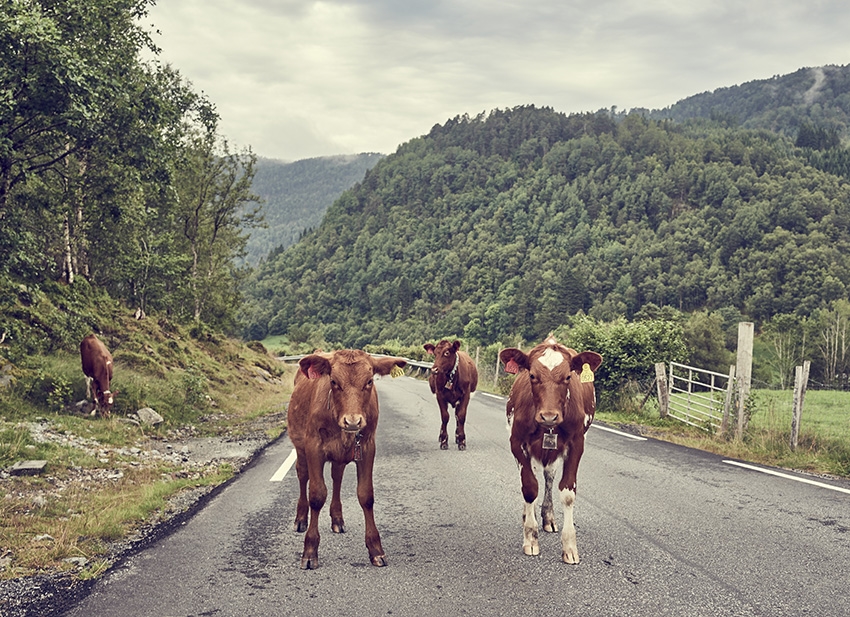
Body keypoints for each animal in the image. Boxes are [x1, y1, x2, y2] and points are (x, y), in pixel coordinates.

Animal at [500, 336, 600, 564]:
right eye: (532, 375)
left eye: (568, 376)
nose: (549, 416)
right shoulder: (516, 441)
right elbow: (529, 487)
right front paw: (531, 538)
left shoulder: (577, 444)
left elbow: (567, 493)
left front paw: (570, 546)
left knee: (548, 476)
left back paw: (548, 517)